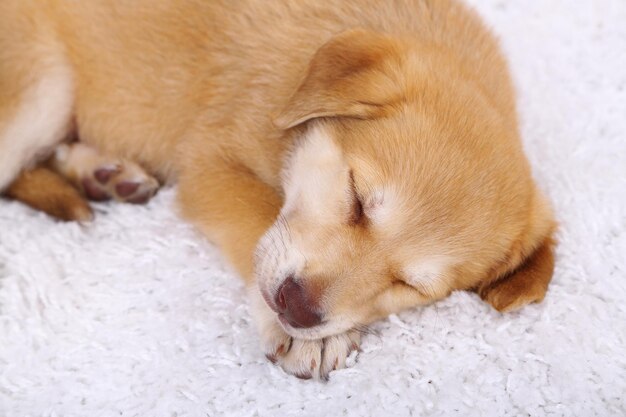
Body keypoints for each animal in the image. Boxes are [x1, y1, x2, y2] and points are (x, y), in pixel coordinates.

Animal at [0, 0, 556, 378]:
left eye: (410, 286)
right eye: (356, 197)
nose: (298, 310)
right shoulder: (212, 165)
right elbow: (258, 216)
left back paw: (101, 172)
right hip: (42, 90)